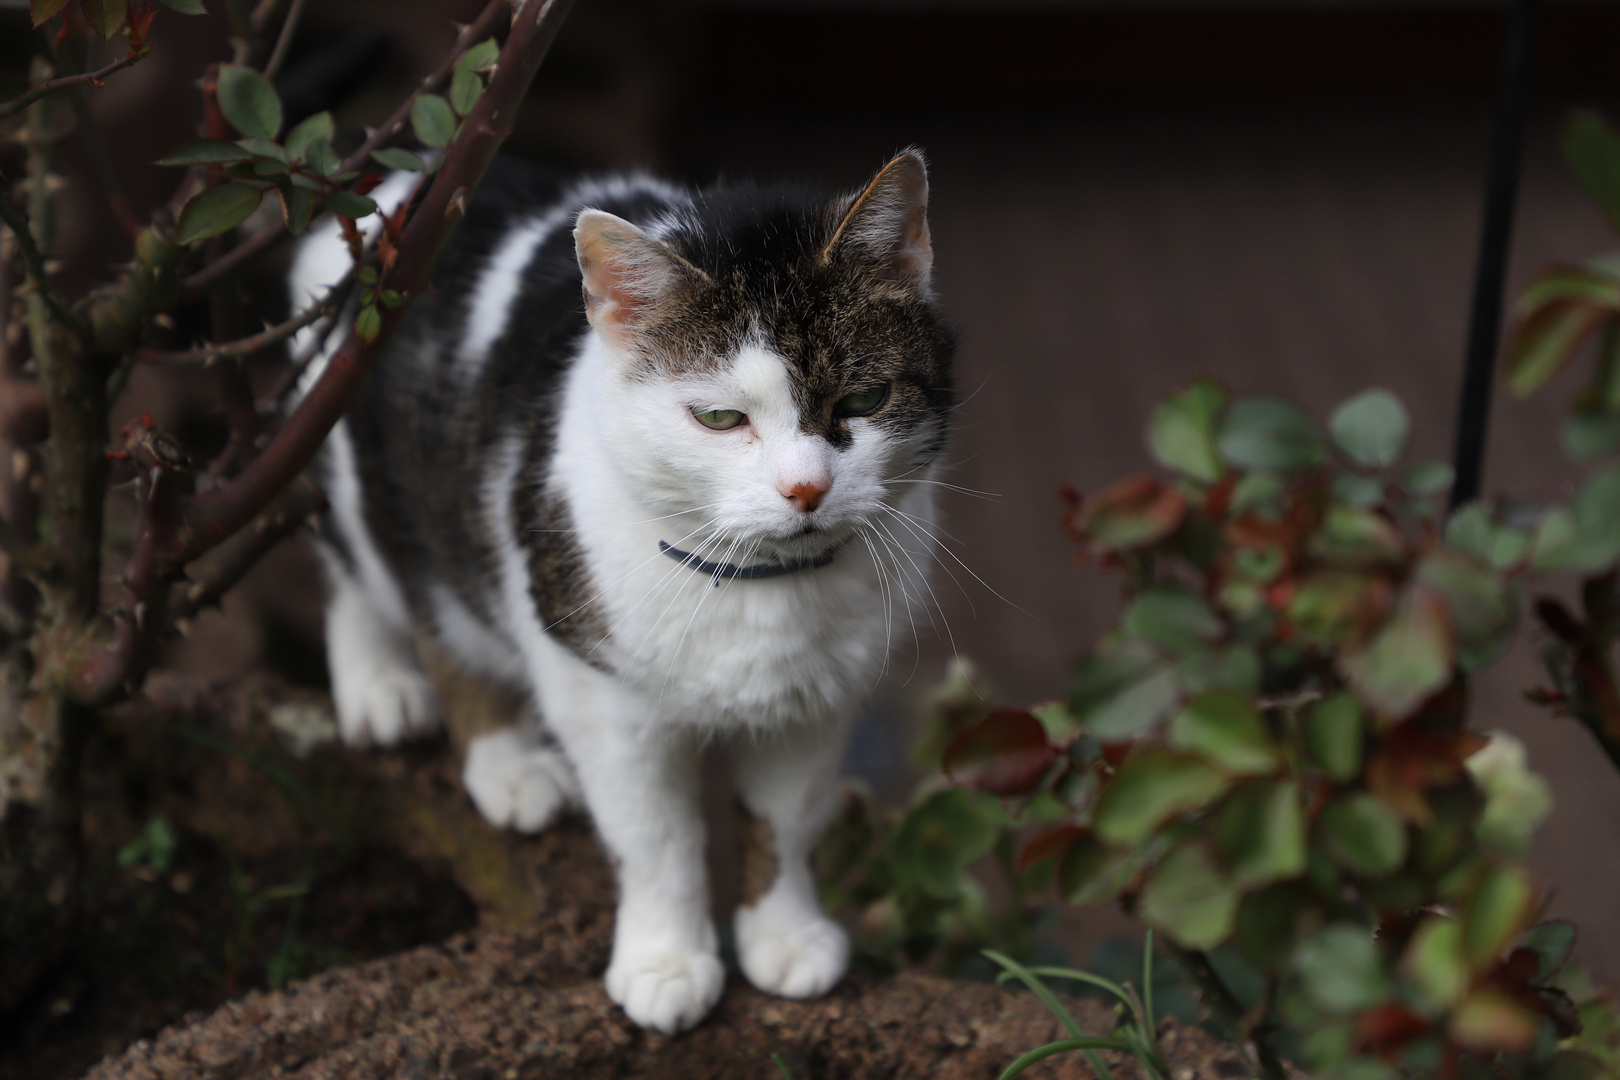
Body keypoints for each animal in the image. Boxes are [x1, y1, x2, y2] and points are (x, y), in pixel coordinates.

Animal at [286, 148, 952, 1036]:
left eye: (864, 399)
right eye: (719, 418)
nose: (807, 489)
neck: (758, 584)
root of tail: (402, 182)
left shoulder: (814, 702)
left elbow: (785, 821)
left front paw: (785, 938)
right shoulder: (603, 698)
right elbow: (658, 837)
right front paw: (666, 965)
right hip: (372, 472)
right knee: (392, 582)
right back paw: (441, 724)